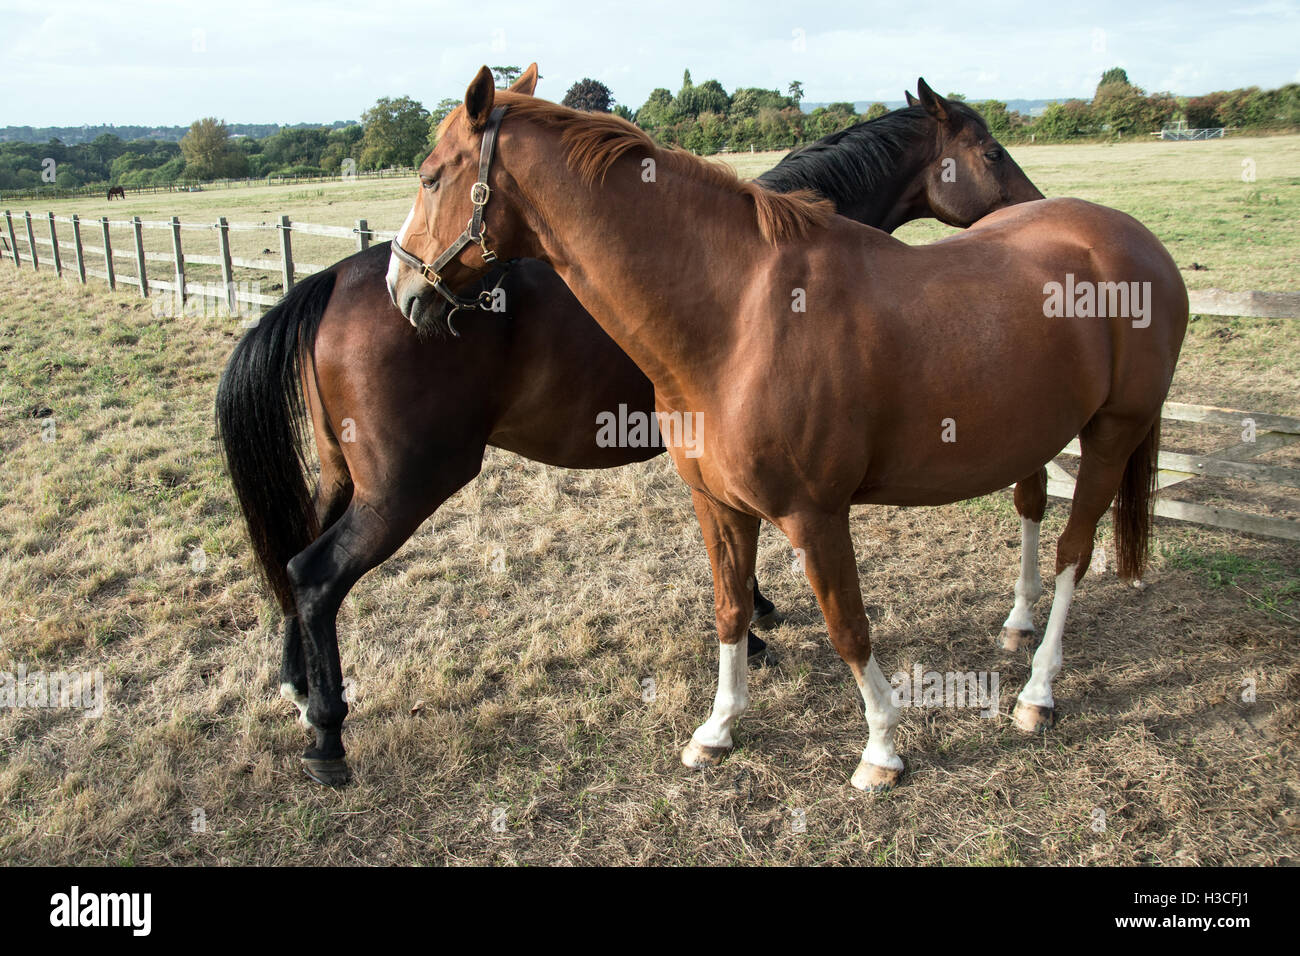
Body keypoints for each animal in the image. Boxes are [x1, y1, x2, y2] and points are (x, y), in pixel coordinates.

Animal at [218, 65, 1040, 785]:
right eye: (991, 152)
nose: (1032, 209)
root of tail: (337, 280)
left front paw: (757, 623)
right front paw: (761, 631)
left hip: (347, 480)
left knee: (293, 564)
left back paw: (300, 690)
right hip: (406, 486)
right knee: (318, 577)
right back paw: (328, 738)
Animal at [384, 69, 1190, 790]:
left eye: (430, 178)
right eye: (991, 153)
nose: (405, 291)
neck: (739, 316)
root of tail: (1134, 241)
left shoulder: (815, 514)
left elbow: (847, 624)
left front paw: (882, 749)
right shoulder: (719, 506)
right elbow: (731, 610)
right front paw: (718, 728)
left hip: (1111, 433)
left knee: (1073, 553)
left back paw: (1037, 691)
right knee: (1033, 512)